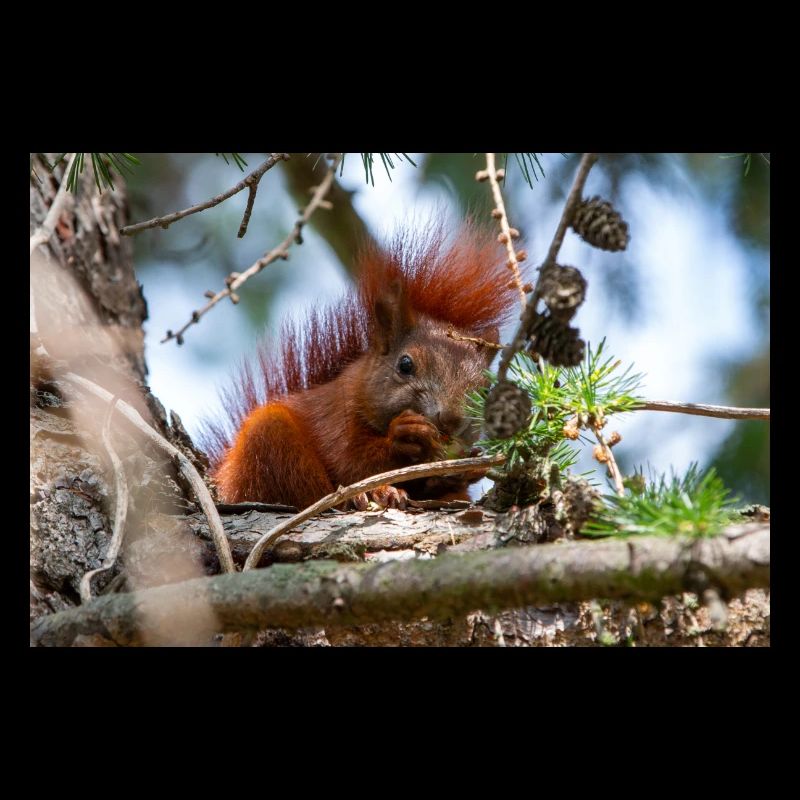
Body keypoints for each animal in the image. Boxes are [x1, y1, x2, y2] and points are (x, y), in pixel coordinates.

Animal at [202, 222, 522, 510]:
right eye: (405, 365)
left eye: (485, 390)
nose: (452, 419)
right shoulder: (334, 418)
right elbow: (352, 461)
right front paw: (404, 435)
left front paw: (470, 467)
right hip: (268, 442)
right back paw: (368, 495)